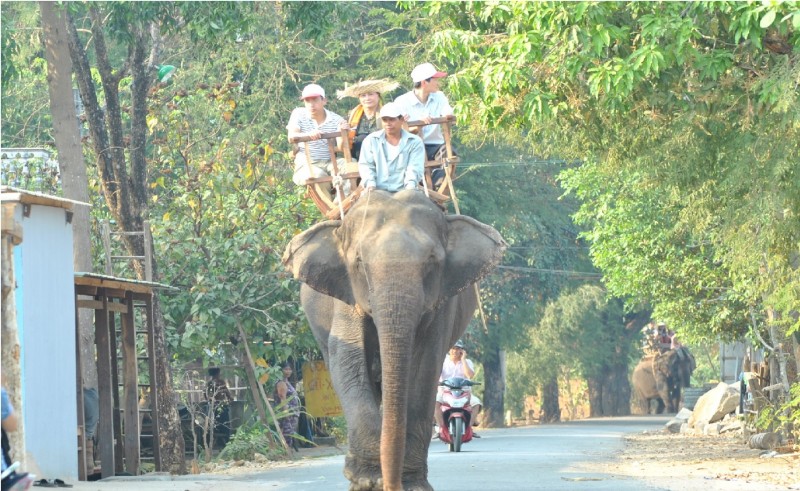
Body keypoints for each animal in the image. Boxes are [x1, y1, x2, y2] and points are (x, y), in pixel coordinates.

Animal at [282, 189, 506, 491]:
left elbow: (425, 367)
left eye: (432, 261)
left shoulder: (442, 302)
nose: (390, 485)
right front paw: (365, 480)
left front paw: (411, 483)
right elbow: (348, 361)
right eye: (359, 262)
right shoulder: (346, 295)